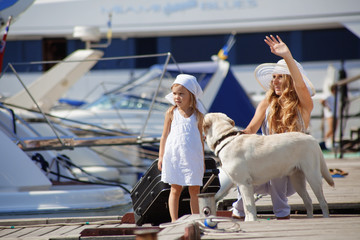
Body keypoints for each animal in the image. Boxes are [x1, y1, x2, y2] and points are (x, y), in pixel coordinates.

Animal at [202, 112, 334, 221]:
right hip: (297, 179)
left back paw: (326, 218)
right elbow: (246, 206)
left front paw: (251, 221)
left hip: (313, 176)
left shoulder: (245, 183)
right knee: (308, 201)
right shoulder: (242, 184)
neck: (225, 139)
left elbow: (249, 206)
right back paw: (310, 218)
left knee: (323, 202)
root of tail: (312, 139)